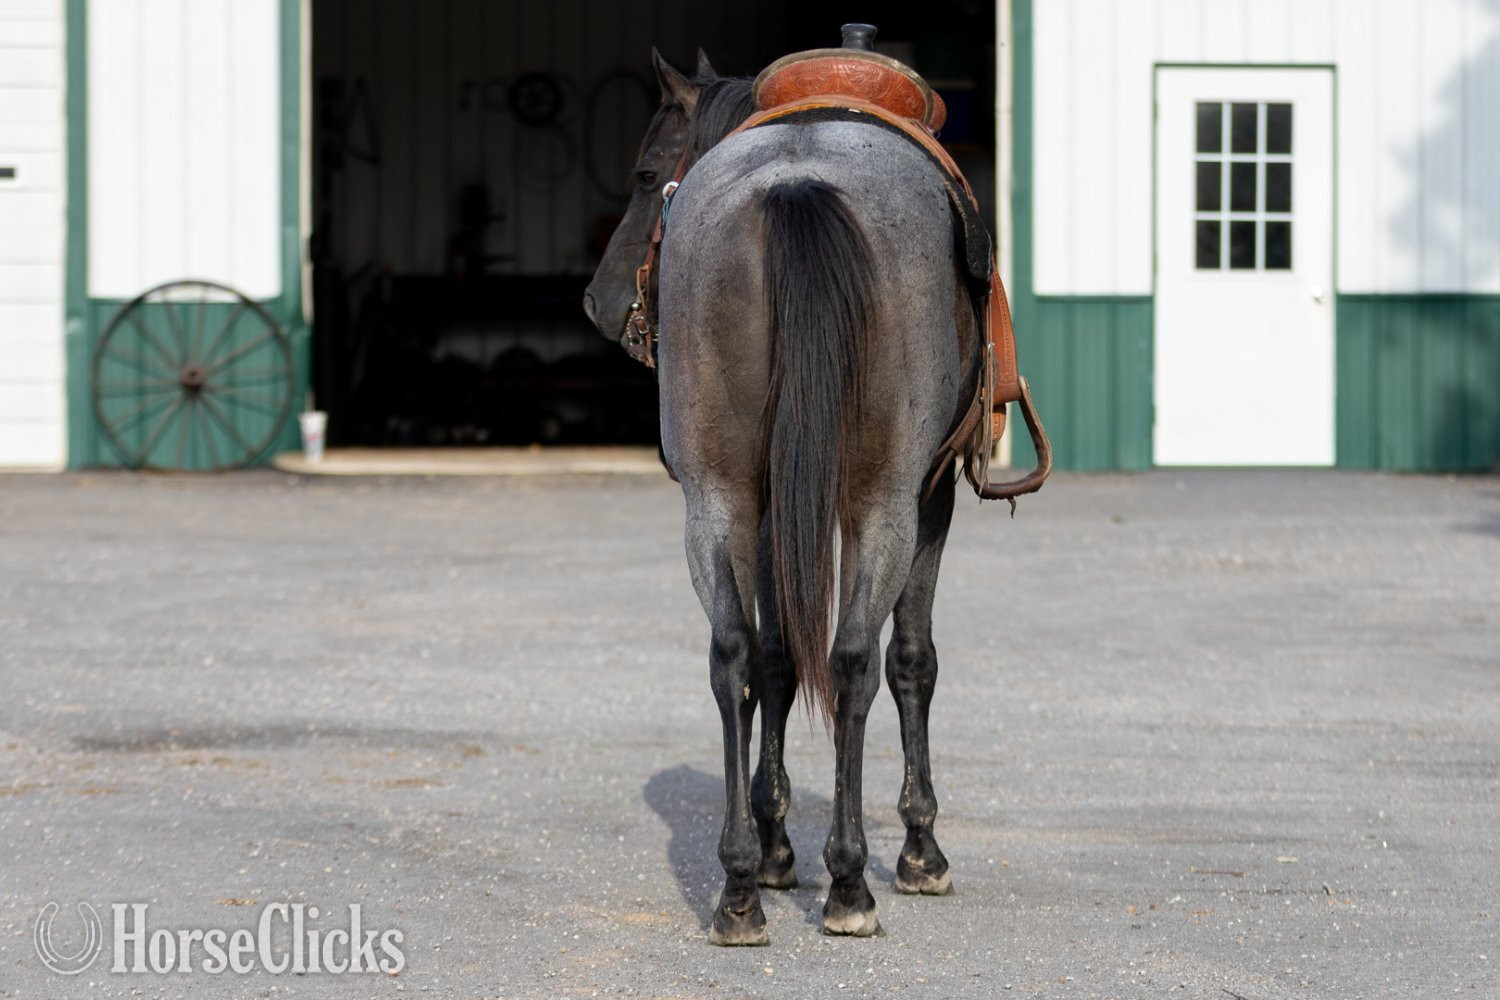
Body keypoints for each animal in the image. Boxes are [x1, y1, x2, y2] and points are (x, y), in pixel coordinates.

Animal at [583, 49, 979, 945]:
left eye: (646, 173)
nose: (597, 301)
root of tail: (797, 181)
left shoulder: (767, 505)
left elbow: (770, 656)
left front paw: (769, 848)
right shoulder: (930, 495)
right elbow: (910, 660)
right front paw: (919, 848)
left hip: (718, 499)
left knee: (732, 654)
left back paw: (736, 890)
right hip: (883, 504)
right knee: (856, 657)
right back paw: (850, 882)